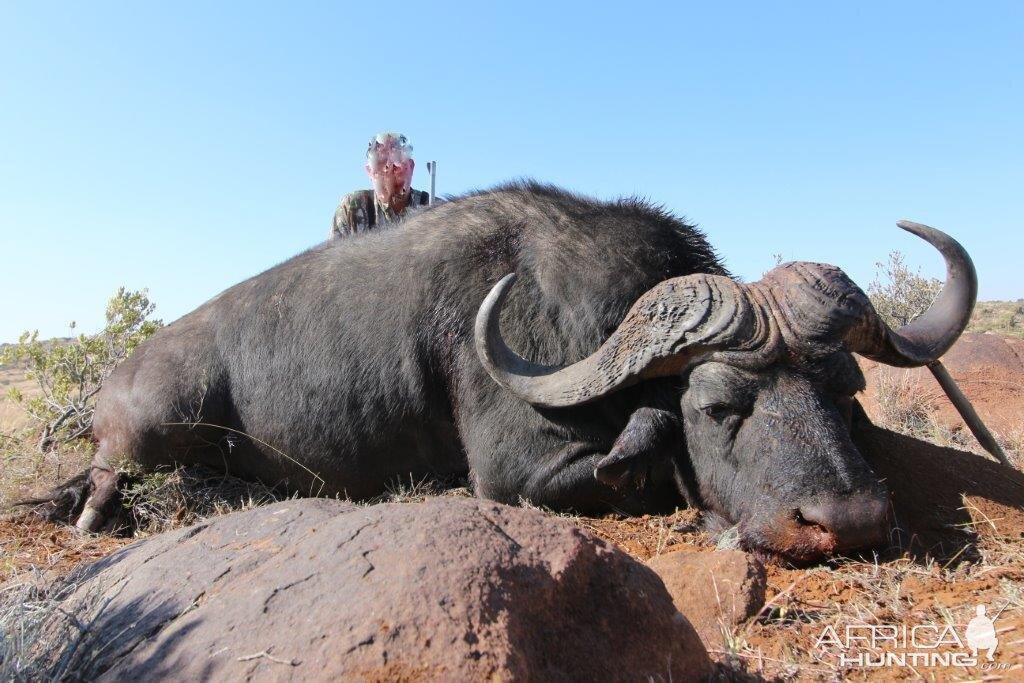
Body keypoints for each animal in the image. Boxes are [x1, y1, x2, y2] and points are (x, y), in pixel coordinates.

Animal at [51, 180, 970, 561]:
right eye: (718, 406)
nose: (847, 520)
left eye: (843, 394)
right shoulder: (515, 472)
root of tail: (116, 379)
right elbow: (642, 460)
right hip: (141, 438)